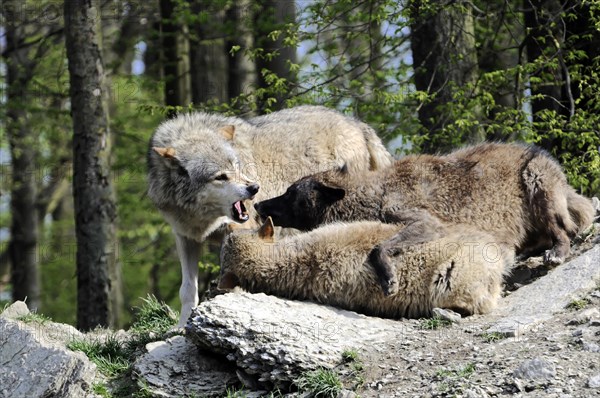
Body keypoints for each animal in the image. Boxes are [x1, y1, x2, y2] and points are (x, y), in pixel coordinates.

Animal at [146, 105, 394, 326]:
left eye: (237, 166)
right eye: (220, 176)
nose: (254, 188)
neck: (203, 216)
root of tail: (357, 123)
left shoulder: (241, 231)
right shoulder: (185, 237)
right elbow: (187, 290)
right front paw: (181, 326)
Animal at [254, 142, 596, 292]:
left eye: (289, 192)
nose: (258, 205)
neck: (374, 194)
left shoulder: (426, 222)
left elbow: (379, 248)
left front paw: (388, 279)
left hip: (536, 179)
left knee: (565, 230)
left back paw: (556, 251)